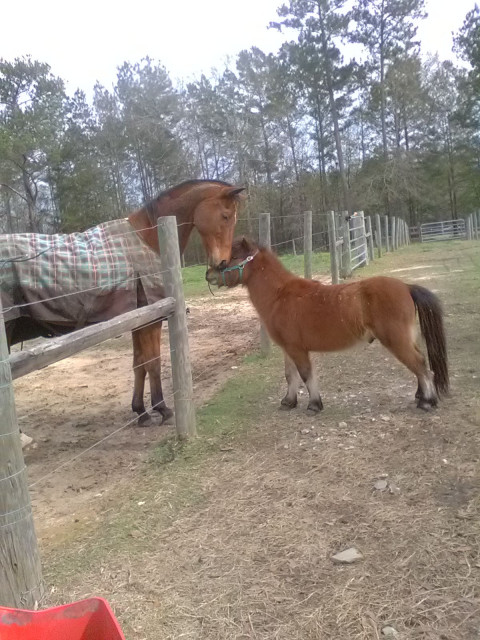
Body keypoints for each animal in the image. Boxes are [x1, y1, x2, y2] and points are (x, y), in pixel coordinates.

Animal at [2, 179, 244, 424]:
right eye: (225, 216)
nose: (222, 263)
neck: (148, 238)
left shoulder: (138, 322)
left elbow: (139, 364)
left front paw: (141, 411)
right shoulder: (150, 322)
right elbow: (152, 363)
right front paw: (162, 408)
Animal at [207, 238, 450, 412]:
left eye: (232, 257)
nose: (208, 274)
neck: (280, 296)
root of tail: (406, 287)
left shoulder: (298, 349)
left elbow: (306, 374)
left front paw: (314, 404)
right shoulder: (288, 349)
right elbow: (290, 375)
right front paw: (289, 402)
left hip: (396, 340)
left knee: (419, 364)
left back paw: (427, 401)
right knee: (419, 362)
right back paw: (420, 396)